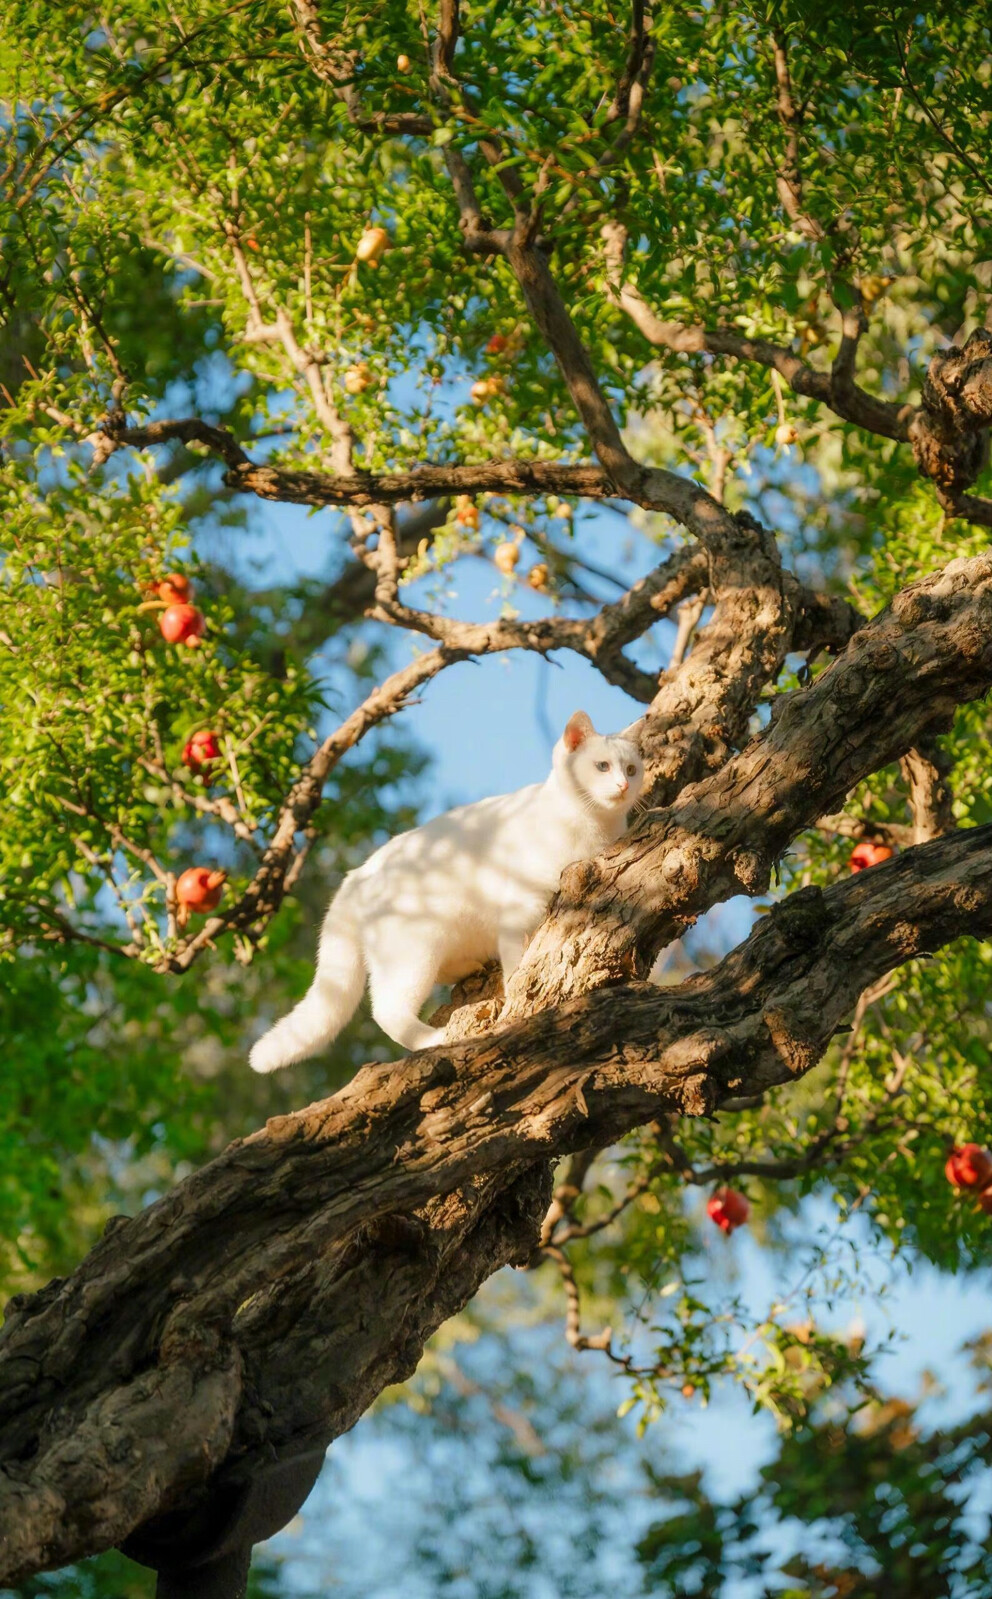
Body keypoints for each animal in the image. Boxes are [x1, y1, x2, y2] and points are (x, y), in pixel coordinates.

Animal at [249, 709, 643, 1061]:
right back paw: (434, 1038)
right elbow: (518, 961)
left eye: (632, 769)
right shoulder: (520, 905)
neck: (594, 827)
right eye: (602, 766)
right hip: (413, 952)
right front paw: (520, 987)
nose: (624, 785)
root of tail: (357, 874)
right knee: (386, 1011)